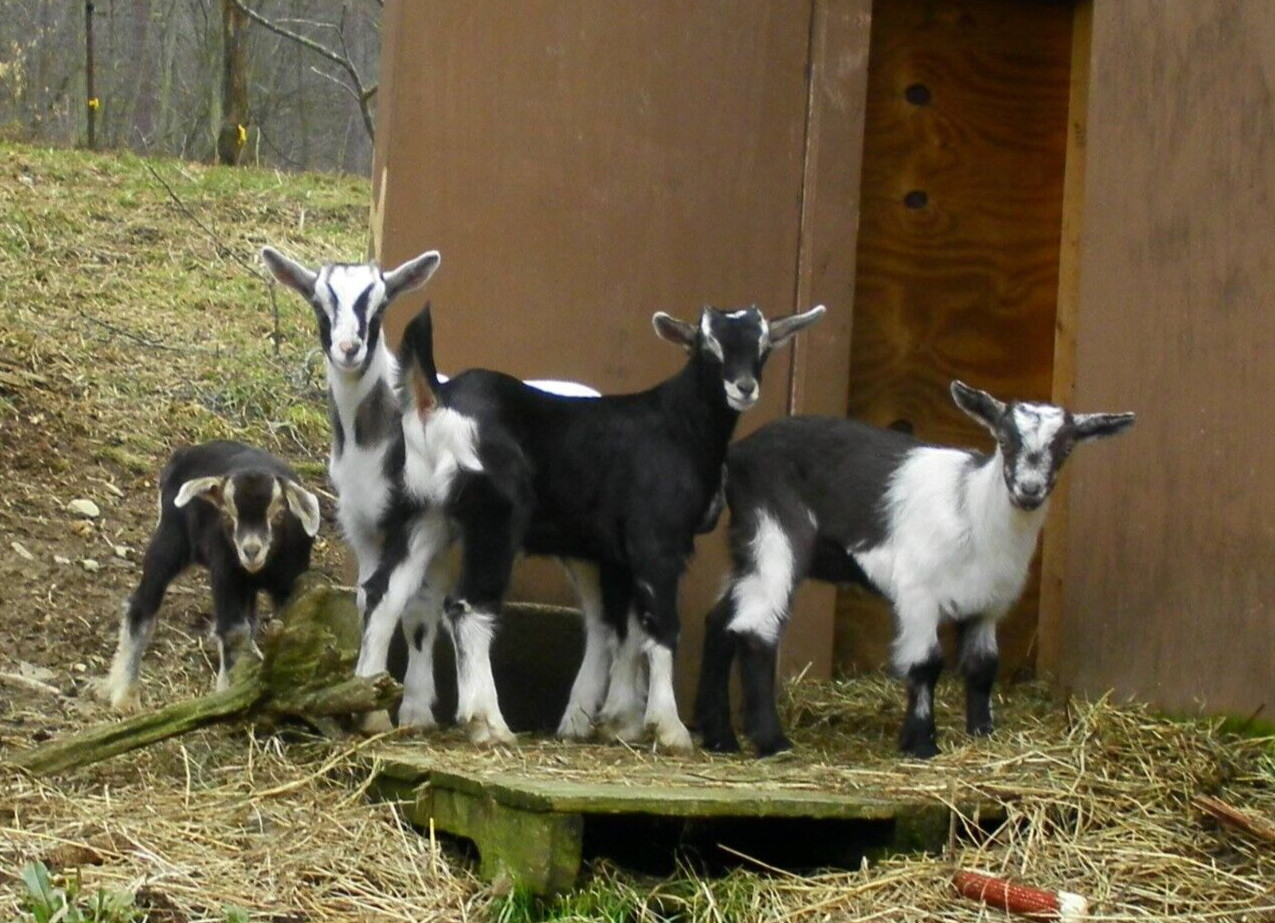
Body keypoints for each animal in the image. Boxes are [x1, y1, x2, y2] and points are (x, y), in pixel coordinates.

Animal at [105, 440, 321, 711]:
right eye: (228, 516)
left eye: (278, 515)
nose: (251, 551)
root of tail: (184, 453)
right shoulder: (226, 574)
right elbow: (234, 631)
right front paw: (229, 694)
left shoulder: (289, 580)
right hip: (170, 540)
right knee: (142, 604)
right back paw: (125, 694)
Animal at [261, 247, 601, 733]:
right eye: (319, 303)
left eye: (380, 304)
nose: (349, 350)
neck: (376, 442)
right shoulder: (365, 528)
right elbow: (373, 598)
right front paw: (378, 699)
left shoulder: (422, 522)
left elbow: (418, 609)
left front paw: (410, 711)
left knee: (600, 617)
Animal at [379, 300, 825, 749]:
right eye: (707, 346)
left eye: (764, 346)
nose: (744, 387)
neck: (678, 426)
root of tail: (437, 400)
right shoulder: (657, 541)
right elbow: (663, 625)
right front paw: (669, 728)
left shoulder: (617, 555)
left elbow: (627, 629)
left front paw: (620, 721)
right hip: (495, 520)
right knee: (467, 607)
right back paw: (488, 723)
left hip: (423, 514)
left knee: (387, 594)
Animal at [695, 381, 1135, 758]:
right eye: (1005, 440)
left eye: (1066, 448)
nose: (1029, 490)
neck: (971, 507)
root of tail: (738, 455)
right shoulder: (918, 593)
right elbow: (926, 663)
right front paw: (922, 743)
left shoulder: (987, 604)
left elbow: (983, 667)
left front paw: (983, 734)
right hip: (775, 531)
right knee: (755, 628)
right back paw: (772, 742)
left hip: (749, 546)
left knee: (720, 620)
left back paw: (719, 737)